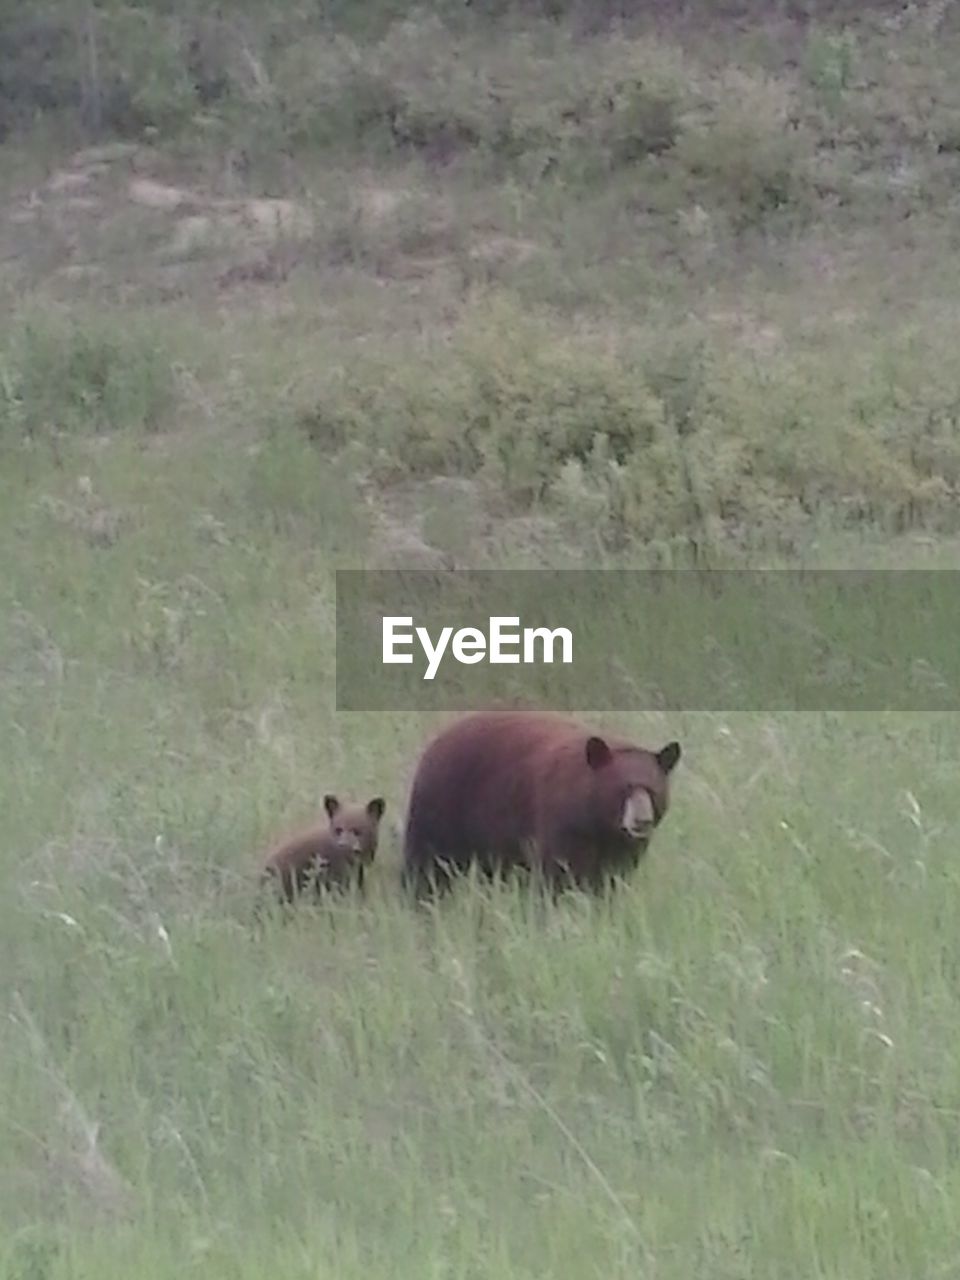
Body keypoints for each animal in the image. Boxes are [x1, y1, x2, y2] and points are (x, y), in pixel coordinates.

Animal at [401, 711, 680, 901]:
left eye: (652, 790)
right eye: (623, 788)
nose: (642, 821)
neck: (597, 822)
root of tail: (435, 742)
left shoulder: (622, 846)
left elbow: (612, 878)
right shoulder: (561, 823)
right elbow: (557, 873)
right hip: (442, 805)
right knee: (428, 864)